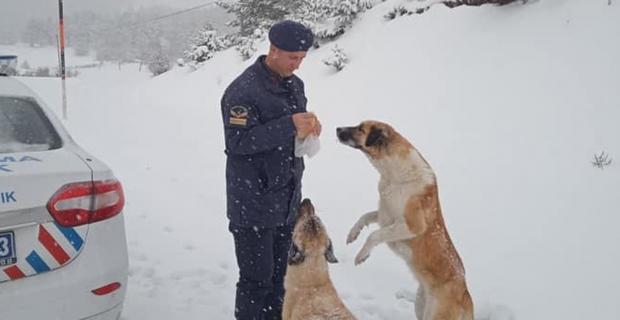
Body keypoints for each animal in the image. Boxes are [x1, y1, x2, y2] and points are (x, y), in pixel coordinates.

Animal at [336, 121, 472, 320]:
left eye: (361, 129)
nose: (337, 129)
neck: (394, 175)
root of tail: (464, 292)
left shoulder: (412, 226)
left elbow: (375, 235)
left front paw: (362, 255)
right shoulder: (385, 213)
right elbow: (365, 217)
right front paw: (353, 234)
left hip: (435, 314)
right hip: (420, 305)